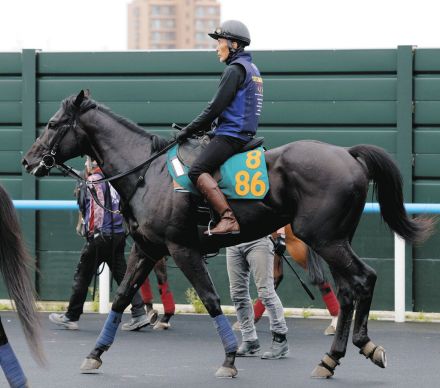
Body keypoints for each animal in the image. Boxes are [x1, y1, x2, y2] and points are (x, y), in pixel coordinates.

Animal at [22, 91, 432, 378]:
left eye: (54, 124)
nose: (29, 160)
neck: (146, 173)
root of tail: (348, 153)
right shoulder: (147, 248)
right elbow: (122, 298)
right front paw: (95, 354)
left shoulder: (181, 248)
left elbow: (210, 299)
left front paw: (230, 358)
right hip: (332, 240)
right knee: (347, 291)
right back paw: (331, 358)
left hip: (323, 239)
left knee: (364, 279)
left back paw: (360, 345)